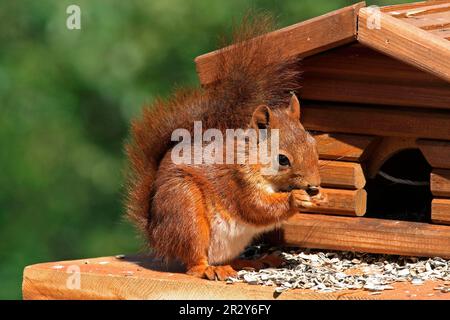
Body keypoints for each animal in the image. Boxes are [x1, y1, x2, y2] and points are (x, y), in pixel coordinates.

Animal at [126, 15, 322, 280]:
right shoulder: (237, 180)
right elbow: (257, 207)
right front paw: (296, 199)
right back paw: (209, 269)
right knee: (193, 261)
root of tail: (156, 235)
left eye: (314, 145)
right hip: (185, 209)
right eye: (282, 160)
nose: (314, 186)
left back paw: (253, 262)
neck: (251, 157)